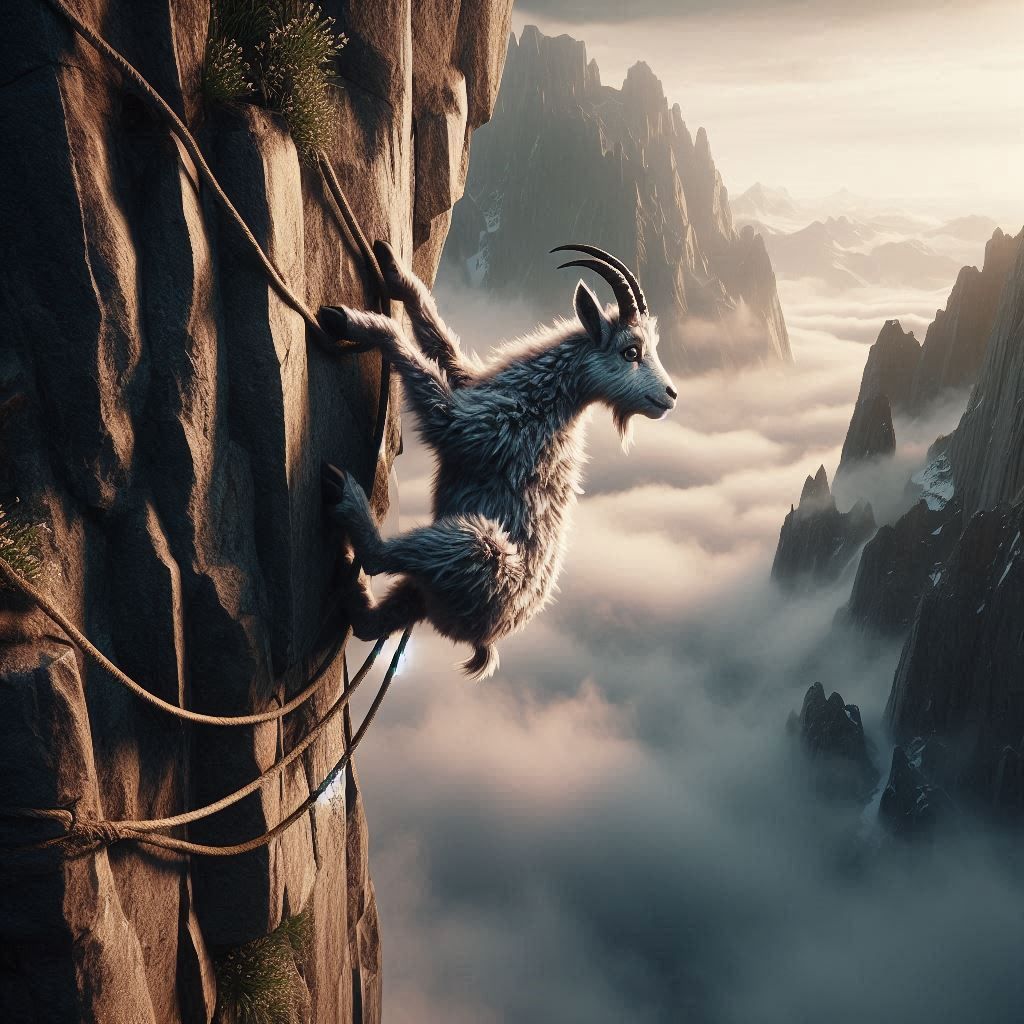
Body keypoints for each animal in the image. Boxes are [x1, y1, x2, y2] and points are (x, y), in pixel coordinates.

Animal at [318, 241, 677, 679]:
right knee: (373, 622)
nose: (670, 395)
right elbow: (446, 352)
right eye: (631, 351)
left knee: (381, 558)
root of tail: (486, 637)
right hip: (425, 591)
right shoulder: (474, 386)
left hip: (476, 550)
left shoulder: (478, 429)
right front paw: (395, 272)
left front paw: (355, 323)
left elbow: (434, 392)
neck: (549, 397)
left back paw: (347, 501)